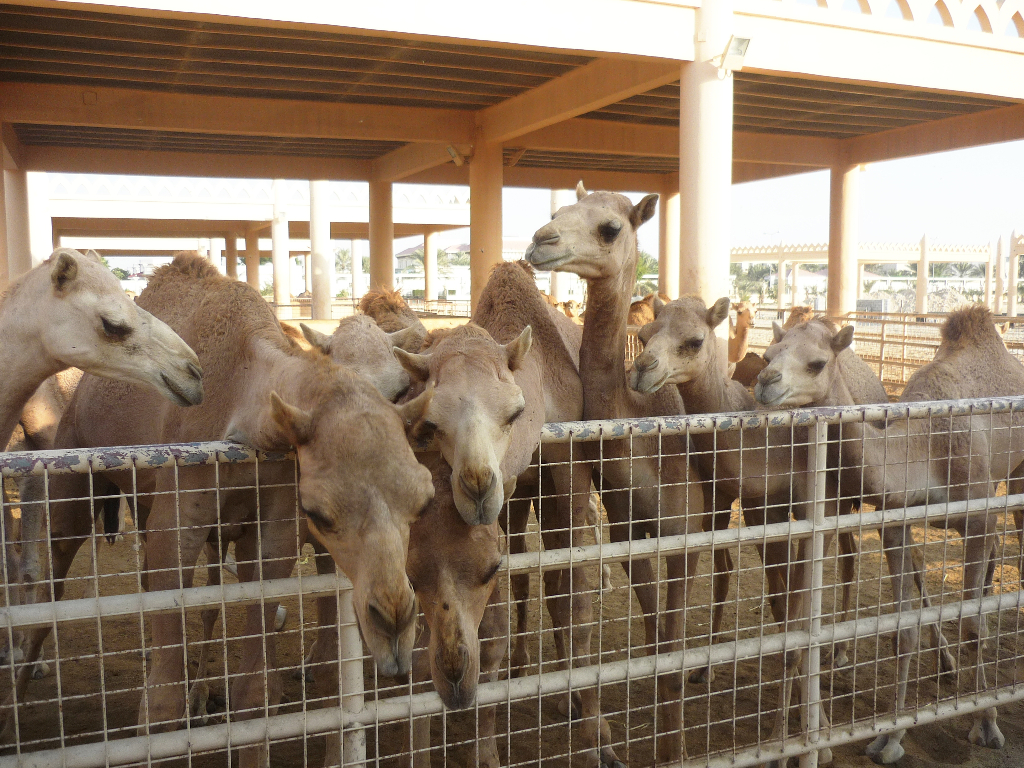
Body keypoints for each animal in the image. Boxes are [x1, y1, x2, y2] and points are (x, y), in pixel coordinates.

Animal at [528, 182, 704, 765]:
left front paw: (675, 748)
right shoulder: (630, 531)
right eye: (560, 210)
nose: (540, 240)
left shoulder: (685, 533)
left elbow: (670, 640)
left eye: (611, 228)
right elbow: (654, 637)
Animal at [753, 305, 1024, 765]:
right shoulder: (895, 522)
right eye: (769, 354)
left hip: (1018, 476)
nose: (764, 382)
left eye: (817, 363)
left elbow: (972, 627)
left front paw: (987, 724)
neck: (924, 448)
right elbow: (903, 632)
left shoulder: (978, 514)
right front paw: (891, 737)